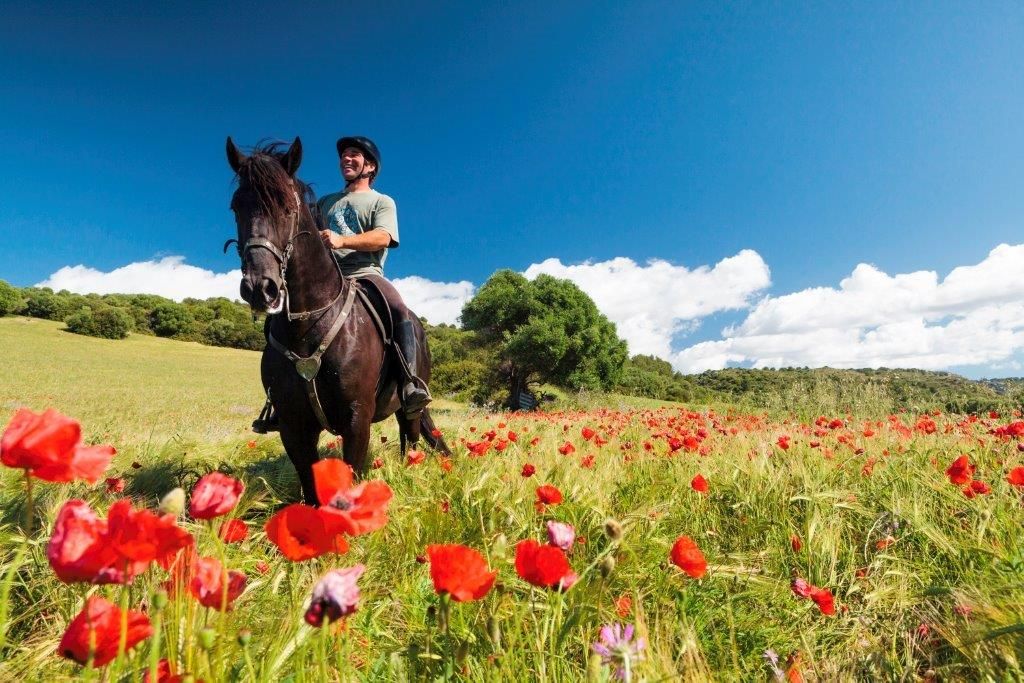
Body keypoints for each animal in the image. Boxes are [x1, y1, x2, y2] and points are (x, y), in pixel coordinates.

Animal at [226, 136, 450, 505]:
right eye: (236, 207)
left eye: (288, 207)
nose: (260, 286)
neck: (308, 324)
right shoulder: (293, 424)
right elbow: (311, 488)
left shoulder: (356, 418)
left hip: (409, 405)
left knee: (412, 439)